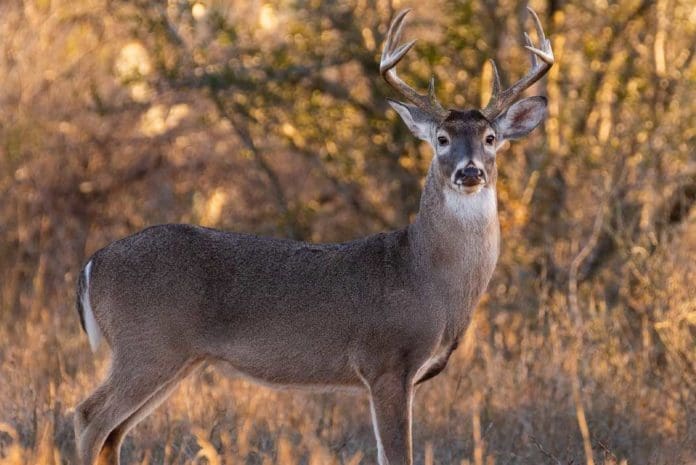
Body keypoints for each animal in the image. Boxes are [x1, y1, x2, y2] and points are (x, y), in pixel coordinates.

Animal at [73, 7, 553, 465]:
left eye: (490, 138)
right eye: (441, 138)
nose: (469, 172)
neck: (427, 275)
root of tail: (93, 264)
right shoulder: (386, 360)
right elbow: (400, 454)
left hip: (171, 357)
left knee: (113, 434)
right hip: (147, 344)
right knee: (89, 417)